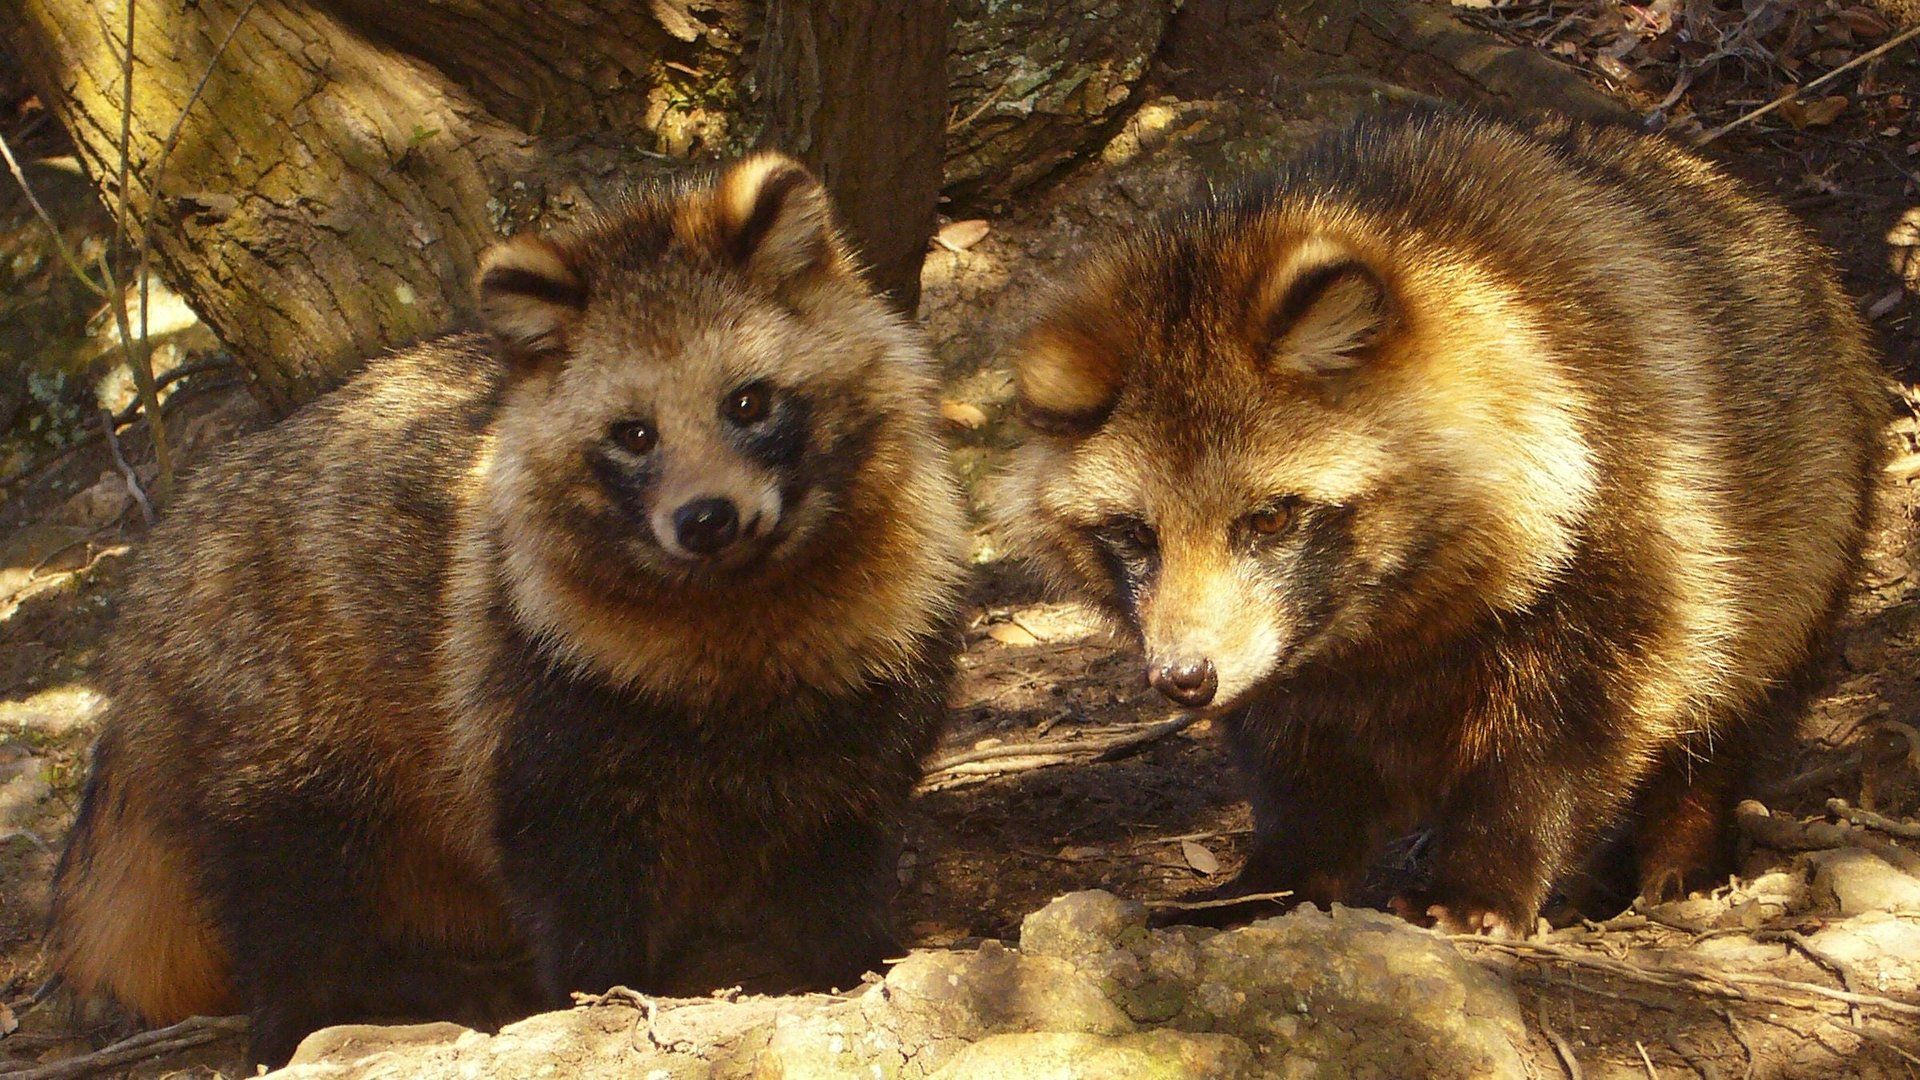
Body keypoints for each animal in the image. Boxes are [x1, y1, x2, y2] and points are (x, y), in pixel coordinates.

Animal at [49, 153, 968, 1065]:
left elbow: (840, 845)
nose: (706, 520)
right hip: (266, 707)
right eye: (634, 435)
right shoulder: (535, 688)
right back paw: (305, 1019)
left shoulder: (876, 664)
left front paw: (851, 960)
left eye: (748, 402)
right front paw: (602, 995)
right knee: (287, 889)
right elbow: (572, 878)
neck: (735, 597)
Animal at [996, 106, 1886, 937]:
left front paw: (1489, 866)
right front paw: (1279, 871)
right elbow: (1297, 754)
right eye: (1134, 534)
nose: (1184, 679)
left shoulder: (1634, 519)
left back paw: (1684, 843)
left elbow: (1568, 732)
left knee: (1727, 704)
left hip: (1803, 530)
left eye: (1272, 518)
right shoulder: (1281, 650)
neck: (1382, 621)